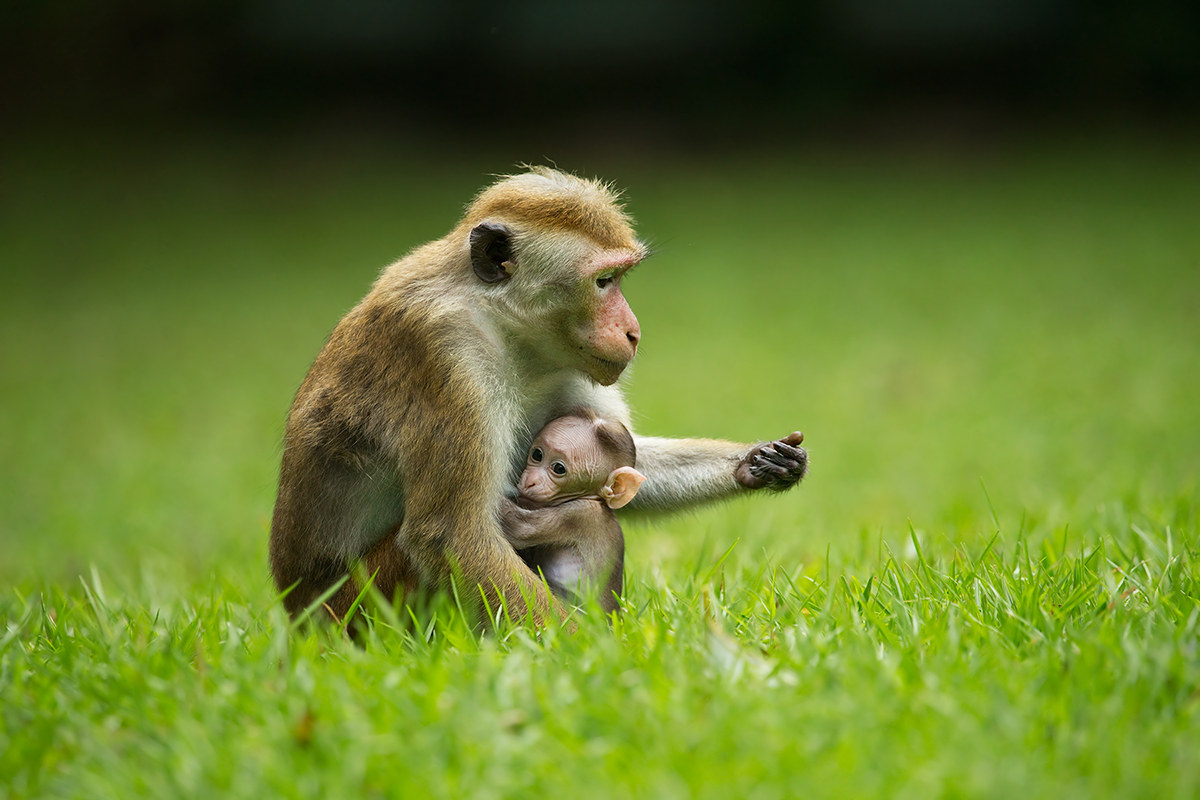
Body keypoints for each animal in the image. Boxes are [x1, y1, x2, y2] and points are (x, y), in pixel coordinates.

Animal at [500, 410, 646, 615]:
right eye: (537, 454)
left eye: (559, 468)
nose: (530, 481)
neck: (596, 500)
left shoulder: (578, 514)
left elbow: (519, 529)